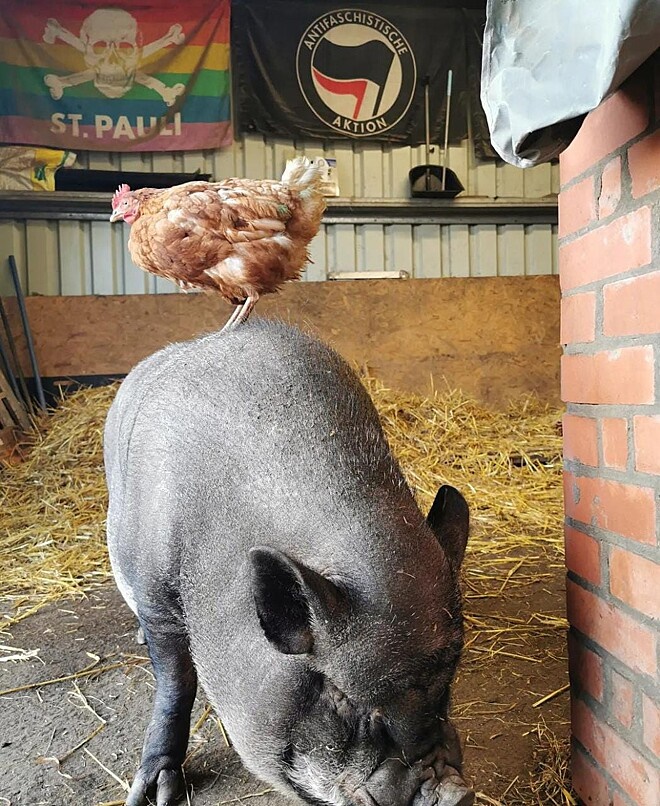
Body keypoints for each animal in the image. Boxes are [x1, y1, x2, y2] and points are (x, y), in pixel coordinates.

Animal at [104, 320, 474, 806]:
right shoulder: (155, 594)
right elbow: (174, 686)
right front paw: (152, 794)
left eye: (449, 682)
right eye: (340, 696)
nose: (453, 794)